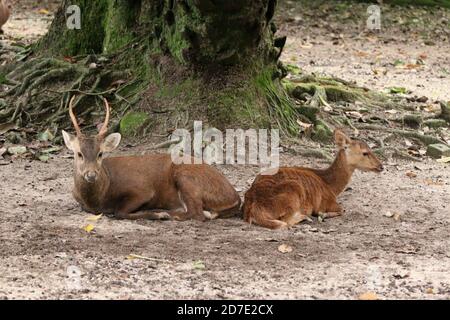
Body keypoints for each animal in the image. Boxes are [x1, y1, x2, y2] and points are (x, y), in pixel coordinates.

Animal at [62, 97, 243, 222]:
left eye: (100, 153)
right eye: (79, 153)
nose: (91, 174)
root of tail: (235, 197)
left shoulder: (142, 189)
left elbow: (119, 212)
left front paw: (157, 214)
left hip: (186, 177)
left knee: (197, 213)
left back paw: (167, 213)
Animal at [243, 130, 384, 230]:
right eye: (365, 153)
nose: (381, 166)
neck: (331, 186)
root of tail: (254, 209)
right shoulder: (326, 201)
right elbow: (342, 210)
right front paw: (323, 215)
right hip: (293, 190)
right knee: (285, 222)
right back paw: (306, 217)